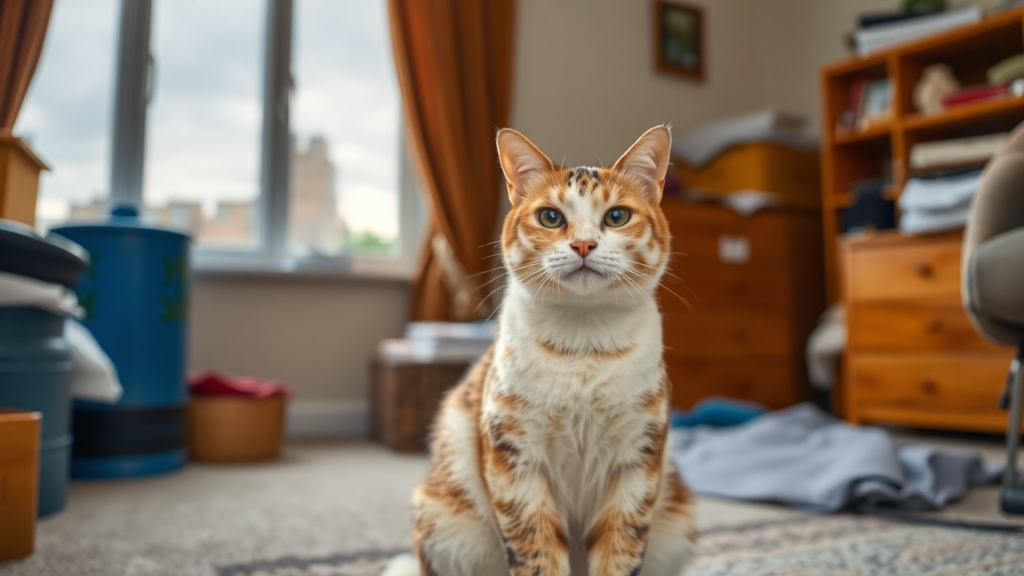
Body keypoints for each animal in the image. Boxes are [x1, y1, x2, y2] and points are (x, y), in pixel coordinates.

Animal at [385, 125, 696, 573]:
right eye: (551, 217)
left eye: (617, 216)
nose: (583, 245)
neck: (584, 347)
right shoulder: (514, 458)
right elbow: (536, 553)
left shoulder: (637, 460)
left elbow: (620, 551)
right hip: (445, 522)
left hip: (677, 522)